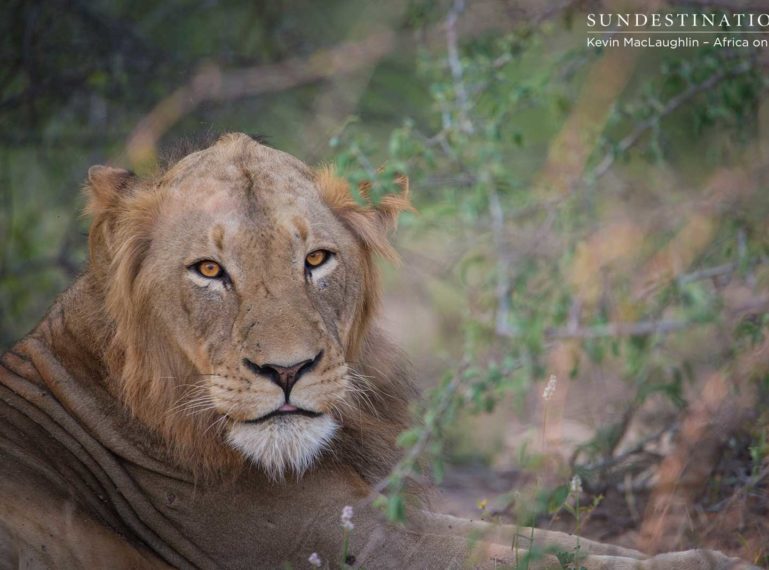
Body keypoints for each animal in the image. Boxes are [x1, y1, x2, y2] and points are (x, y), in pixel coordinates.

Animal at [0, 134, 752, 568]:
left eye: (316, 259)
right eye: (209, 271)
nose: (287, 370)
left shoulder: (383, 518)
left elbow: (553, 539)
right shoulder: (347, 544)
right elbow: (536, 555)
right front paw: (708, 563)